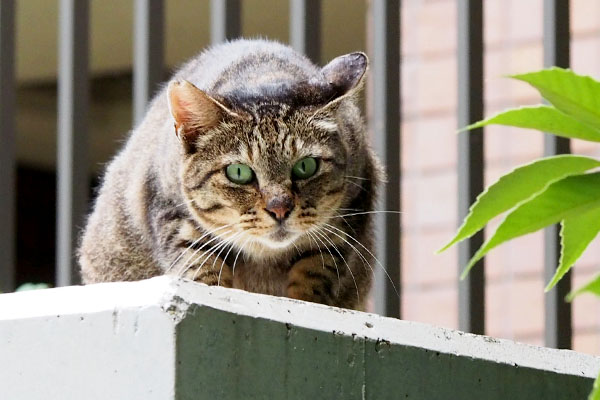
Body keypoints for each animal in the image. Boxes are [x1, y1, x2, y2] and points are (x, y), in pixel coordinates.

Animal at [78, 38, 384, 310]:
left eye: (306, 166)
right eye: (238, 172)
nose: (280, 208)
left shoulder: (349, 214)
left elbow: (315, 271)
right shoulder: (170, 211)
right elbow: (200, 267)